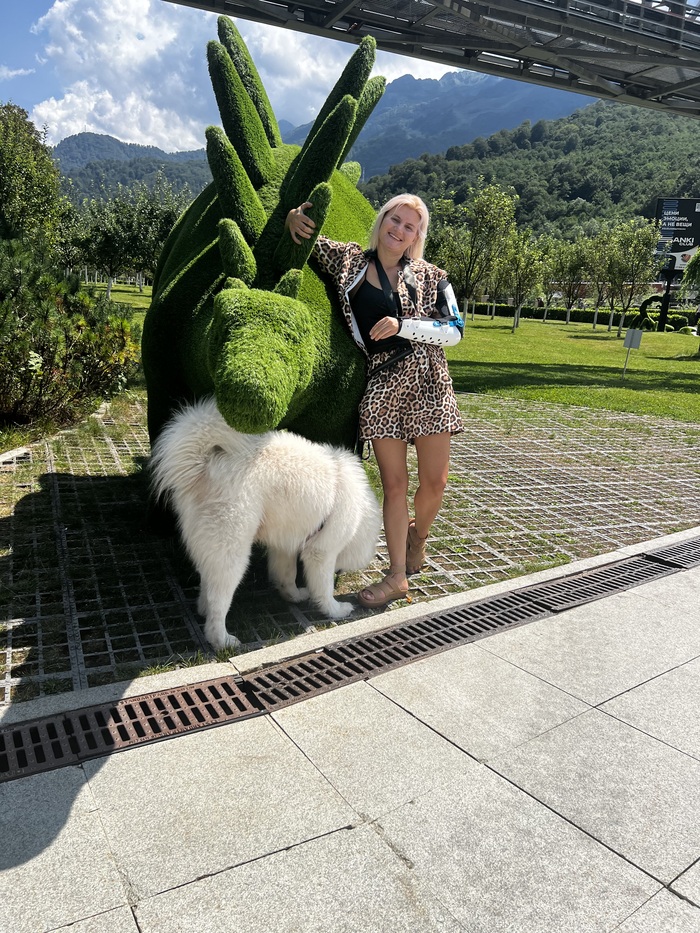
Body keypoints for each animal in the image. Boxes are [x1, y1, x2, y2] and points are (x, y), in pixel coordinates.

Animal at [150, 398, 382, 651]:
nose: (341, 573)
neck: (359, 512)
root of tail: (205, 463)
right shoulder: (321, 552)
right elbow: (324, 588)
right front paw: (335, 610)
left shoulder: (285, 545)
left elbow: (287, 576)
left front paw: (294, 596)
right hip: (233, 553)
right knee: (218, 602)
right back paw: (222, 640)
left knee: (206, 582)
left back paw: (203, 610)